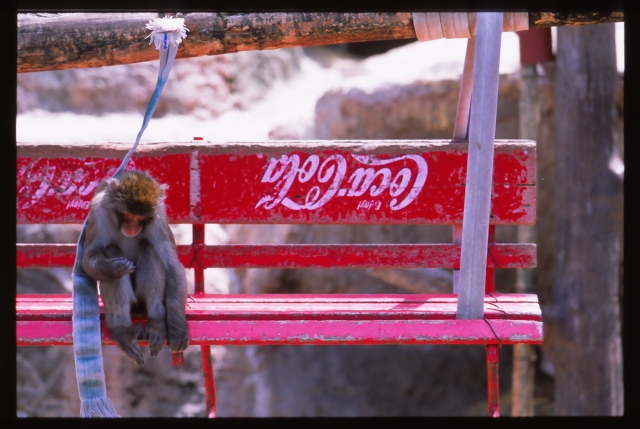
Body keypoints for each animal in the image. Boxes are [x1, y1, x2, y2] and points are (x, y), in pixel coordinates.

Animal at [81, 169, 189, 362]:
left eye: (140, 218)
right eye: (129, 215)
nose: (132, 227)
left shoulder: (158, 219)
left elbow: (172, 266)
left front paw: (178, 327)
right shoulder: (98, 214)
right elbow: (89, 257)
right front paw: (111, 268)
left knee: (149, 247)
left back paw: (157, 322)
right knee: (111, 249)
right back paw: (122, 330)